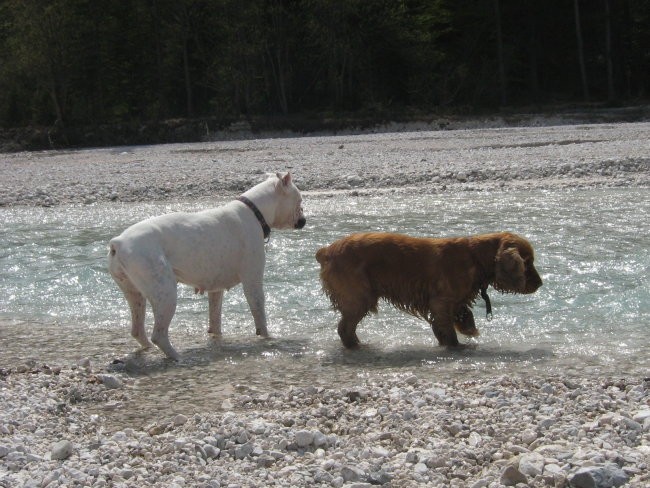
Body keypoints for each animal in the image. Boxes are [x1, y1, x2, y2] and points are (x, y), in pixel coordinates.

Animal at [107, 172, 306, 358]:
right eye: (299, 200)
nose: (304, 220)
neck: (254, 211)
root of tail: (119, 242)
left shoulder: (216, 289)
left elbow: (215, 318)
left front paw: (217, 337)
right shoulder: (252, 282)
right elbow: (259, 313)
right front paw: (267, 338)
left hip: (135, 295)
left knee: (138, 330)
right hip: (165, 294)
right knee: (159, 334)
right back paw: (176, 357)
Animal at [316, 232, 540, 346]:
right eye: (527, 263)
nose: (540, 284)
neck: (474, 256)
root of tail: (327, 251)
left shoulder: (452, 303)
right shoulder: (441, 302)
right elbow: (448, 332)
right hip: (360, 298)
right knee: (344, 328)